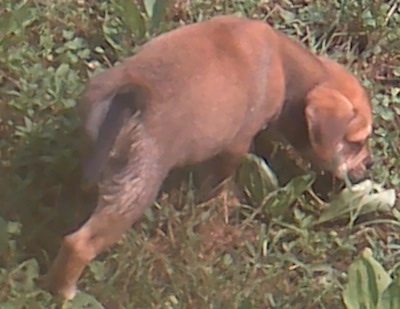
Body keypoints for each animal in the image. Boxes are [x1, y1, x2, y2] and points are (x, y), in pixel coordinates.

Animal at [42, 15, 374, 298]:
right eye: (356, 142)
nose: (369, 166)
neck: (285, 66)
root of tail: (130, 92)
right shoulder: (236, 145)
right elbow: (220, 181)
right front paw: (224, 201)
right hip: (136, 186)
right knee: (79, 244)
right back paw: (65, 292)